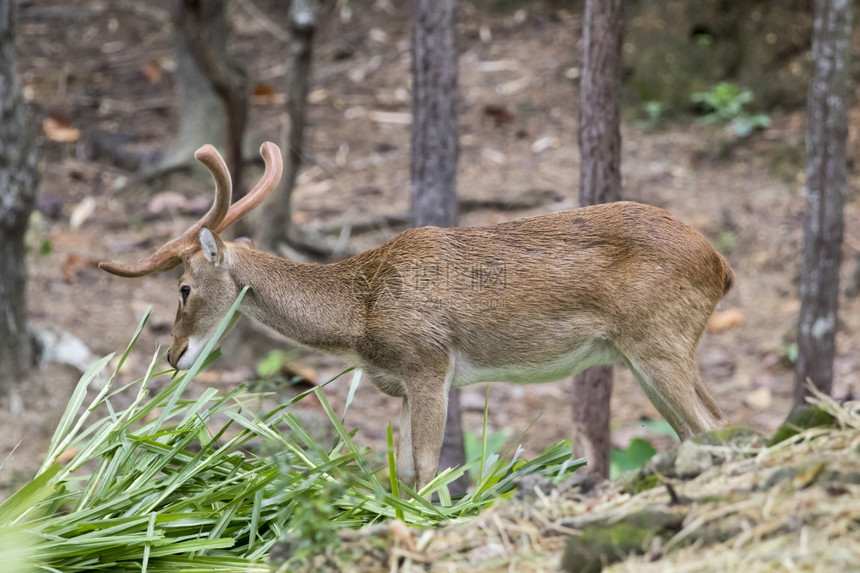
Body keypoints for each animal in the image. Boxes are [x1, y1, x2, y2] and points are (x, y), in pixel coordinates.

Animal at [99, 141, 732, 484]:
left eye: (183, 287)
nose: (174, 356)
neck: (359, 316)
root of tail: (722, 267)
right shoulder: (401, 383)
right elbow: (401, 469)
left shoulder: (429, 361)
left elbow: (430, 468)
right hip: (647, 353)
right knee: (703, 429)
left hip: (659, 339)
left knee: (711, 426)